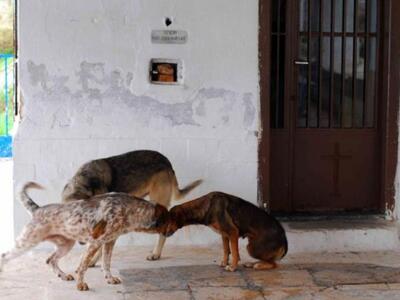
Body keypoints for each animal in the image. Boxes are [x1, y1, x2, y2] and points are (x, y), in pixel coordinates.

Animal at [0, 182, 170, 292]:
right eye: (168, 220)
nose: (170, 233)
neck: (128, 208)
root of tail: (38, 209)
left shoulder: (109, 242)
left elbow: (106, 264)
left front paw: (109, 279)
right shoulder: (95, 243)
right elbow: (83, 267)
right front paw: (81, 285)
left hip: (66, 245)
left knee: (50, 259)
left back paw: (63, 276)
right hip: (27, 241)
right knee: (4, 256)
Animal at [63, 149, 203, 262]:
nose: (81, 241)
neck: (82, 185)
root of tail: (167, 162)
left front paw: (93, 261)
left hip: (157, 201)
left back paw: (156, 254)